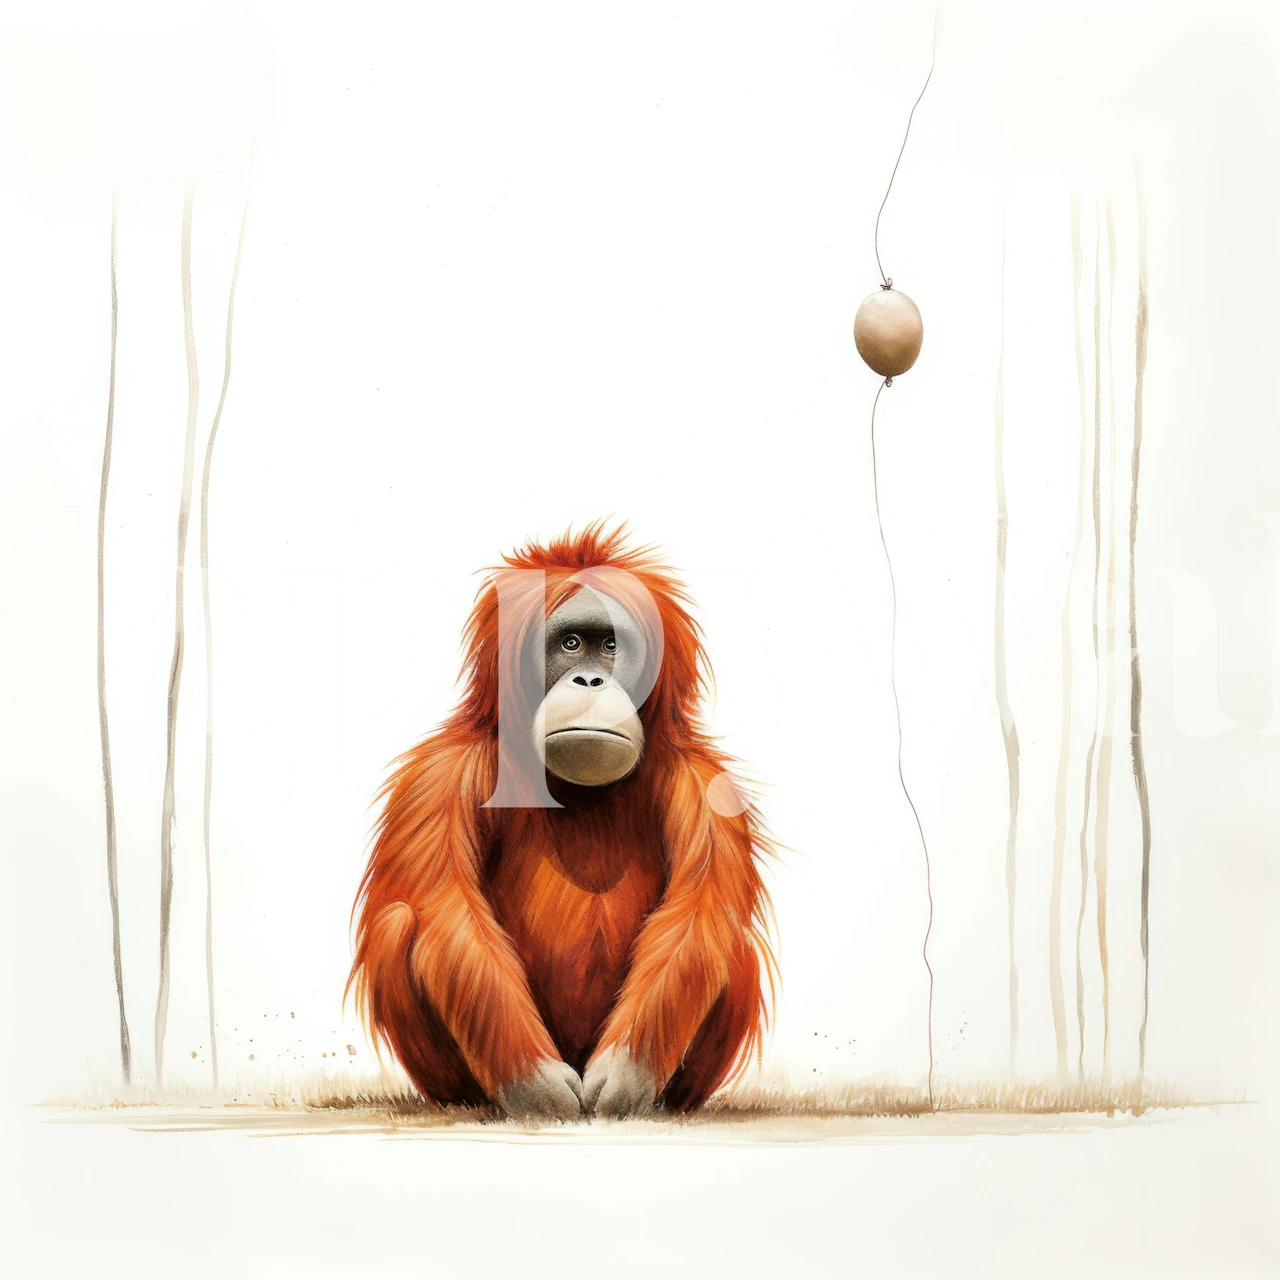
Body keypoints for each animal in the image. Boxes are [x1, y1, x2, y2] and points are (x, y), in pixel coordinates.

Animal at [348, 523, 775, 1119]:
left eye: (611, 646)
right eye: (571, 643)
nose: (590, 680)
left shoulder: (706, 790)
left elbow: (696, 918)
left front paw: (625, 1075)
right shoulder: (440, 779)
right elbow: (448, 916)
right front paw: (536, 1084)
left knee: (731, 939)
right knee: (399, 922)